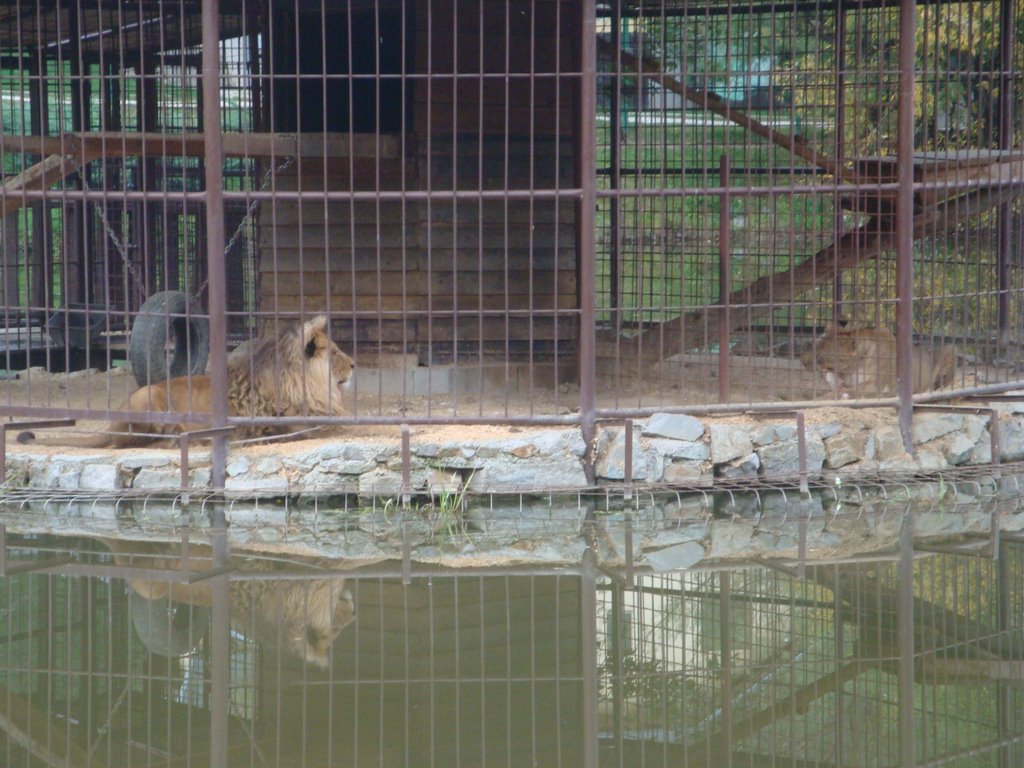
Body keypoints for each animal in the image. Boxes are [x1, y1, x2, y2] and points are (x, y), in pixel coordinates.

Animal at [12, 313, 352, 450]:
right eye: (335, 352)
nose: (353, 364)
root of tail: (113, 421)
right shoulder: (299, 424)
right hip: (146, 398)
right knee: (136, 442)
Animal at [798, 321, 958, 399]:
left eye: (819, 356)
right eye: (813, 345)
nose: (802, 361)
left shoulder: (877, 385)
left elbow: (847, 391)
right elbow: (839, 386)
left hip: (950, 348)